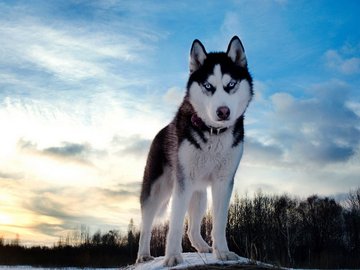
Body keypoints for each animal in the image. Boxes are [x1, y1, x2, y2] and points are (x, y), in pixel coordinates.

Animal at [136, 35, 253, 266]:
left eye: (231, 84)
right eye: (208, 85)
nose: (223, 111)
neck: (213, 133)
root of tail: (160, 132)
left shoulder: (223, 182)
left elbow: (219, 222)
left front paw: (222, 252)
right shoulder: (183, 183)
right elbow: (174, 224)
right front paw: (172, 256)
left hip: (199, 195)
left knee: (191, 229)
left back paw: (203, 247)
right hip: (157, 191)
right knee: (146, 225)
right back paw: (143, 254)